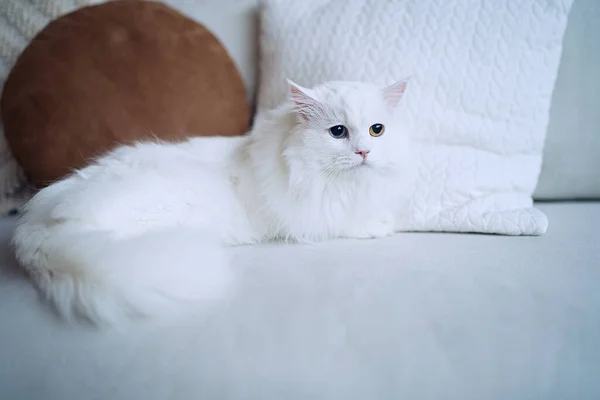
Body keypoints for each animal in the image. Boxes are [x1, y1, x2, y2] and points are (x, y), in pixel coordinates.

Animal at [11, 79, 410, 324]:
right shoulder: (314, 217)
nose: (364, 152)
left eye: (376, 130)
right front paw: (382, 225)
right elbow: (352, 222)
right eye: (338, 132)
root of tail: (34, 227)